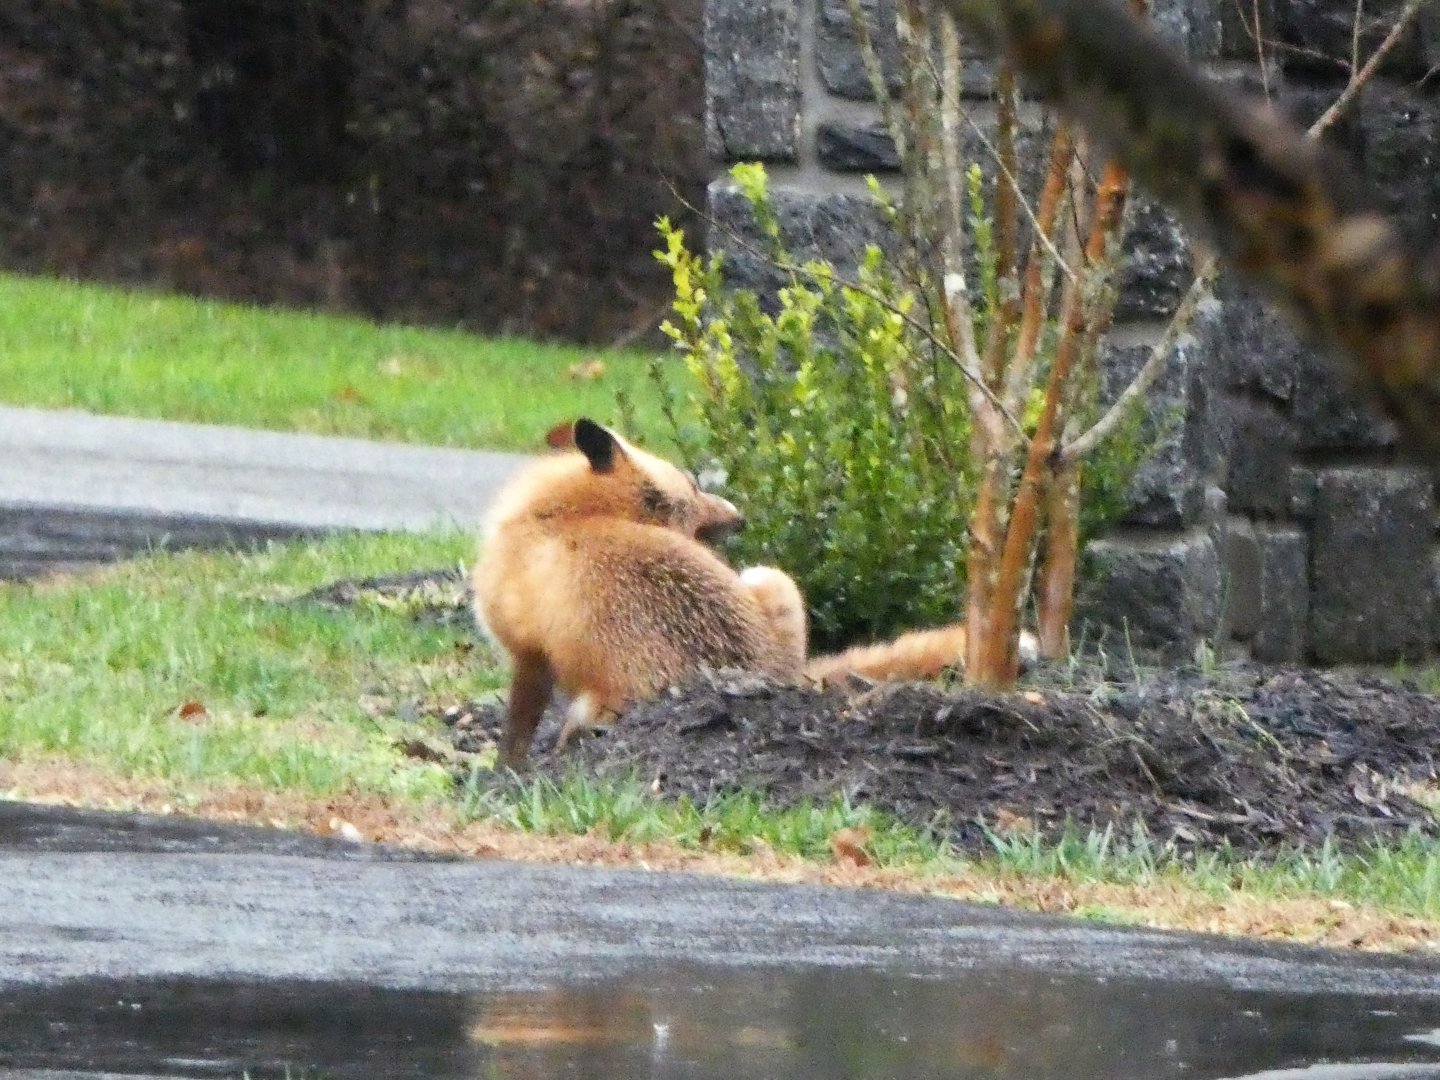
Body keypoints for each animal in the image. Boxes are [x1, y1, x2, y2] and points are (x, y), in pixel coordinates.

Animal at [473, 418, 1026, 766]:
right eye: (696, 489)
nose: (740, 517)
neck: (573, 514)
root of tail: (772, 677)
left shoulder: (528, 652)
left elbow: (516, 730)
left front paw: (507, 774)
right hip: (770, 579)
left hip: (599, 704)